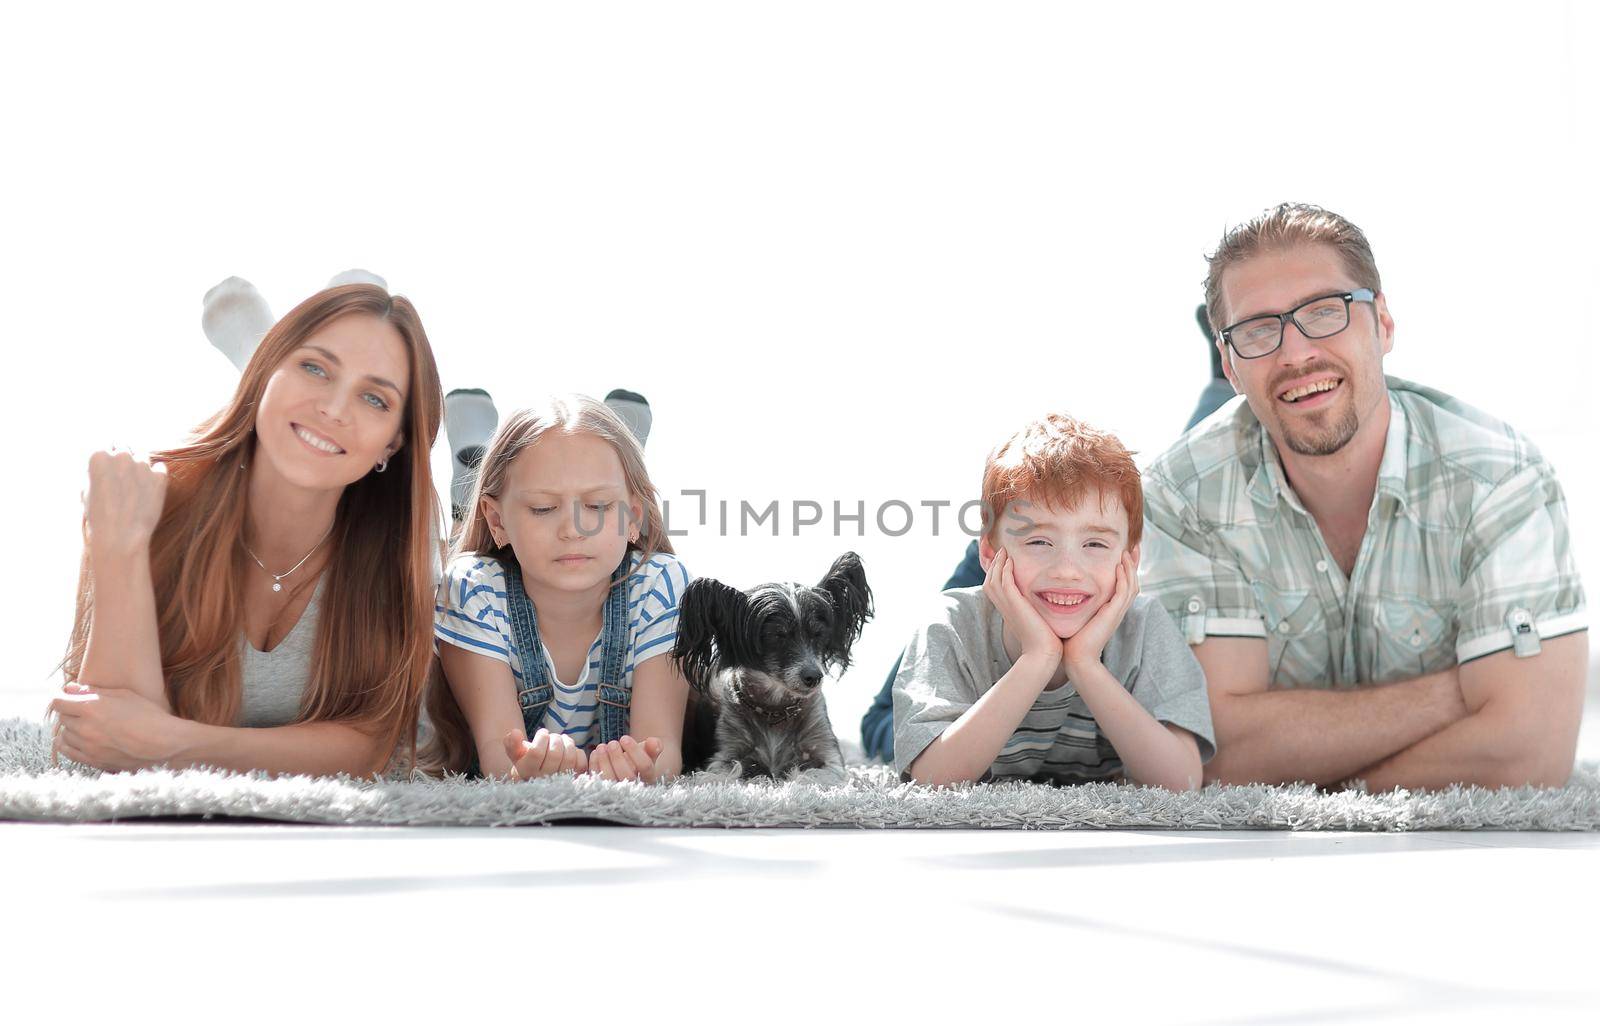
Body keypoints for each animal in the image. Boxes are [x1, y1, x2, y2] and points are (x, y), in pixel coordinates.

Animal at [675, 550, 876, 774]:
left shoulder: (828, 757)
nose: (814, 677)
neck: (775, 710)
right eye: (778, 636)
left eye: (818, 635)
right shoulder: (722, 757)